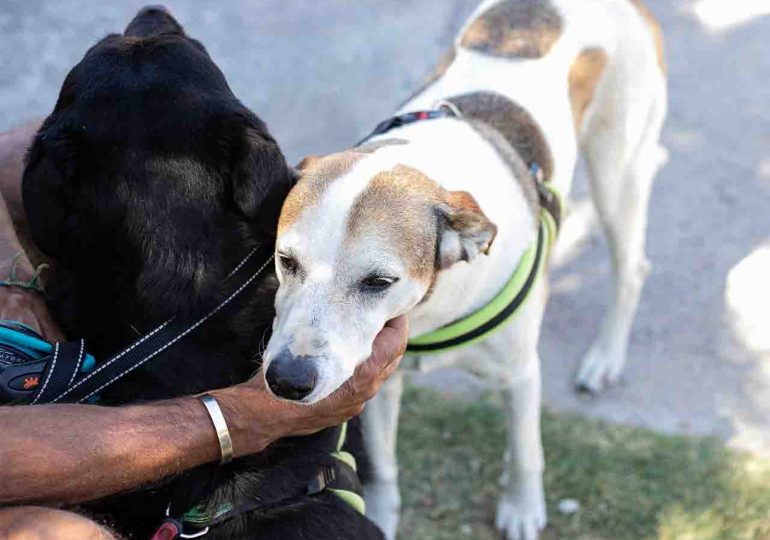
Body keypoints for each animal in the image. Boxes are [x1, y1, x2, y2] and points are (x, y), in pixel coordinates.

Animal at [260, 2, 664, 536]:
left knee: (632, 267)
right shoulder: (381, 379)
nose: (286, 380)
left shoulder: (520, 373)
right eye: (286, 261)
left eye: (379, 282)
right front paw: (384, 518)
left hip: (618, 171)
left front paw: (522, 508)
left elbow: (527, 450)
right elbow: (383, 465)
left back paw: (605, 358)